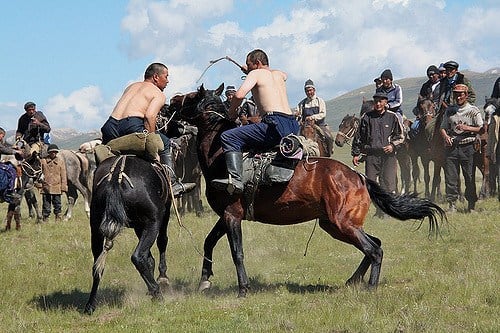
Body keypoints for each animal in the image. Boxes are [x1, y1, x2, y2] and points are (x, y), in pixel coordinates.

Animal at [85, 154, 173, 312]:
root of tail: (116, 177)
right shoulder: (163, 213)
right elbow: (161, 242)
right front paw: (163, 279)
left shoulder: (139, 226)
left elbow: (149, 257)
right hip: (154, 221)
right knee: (138, 256)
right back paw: (157, 293)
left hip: (95, 227)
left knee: (97, 265)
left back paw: (90, 304)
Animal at [171, 83, 446, 296]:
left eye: (191, 97)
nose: (171, 102)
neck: (221, 154)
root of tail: (358, 177)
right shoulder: (226, 216)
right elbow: (208, 242)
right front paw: (205, 280)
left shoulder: (232, 216)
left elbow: (237, 252)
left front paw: (243, 289)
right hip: (335, 225)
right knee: (374, 244)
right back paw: (353, 280)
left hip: (342, 224)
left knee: (375, 249)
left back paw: (370, 287)